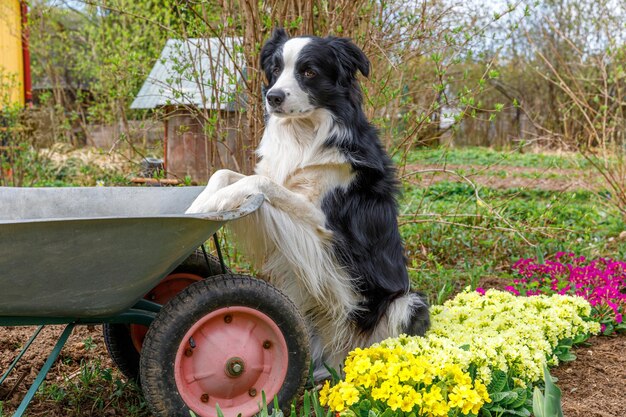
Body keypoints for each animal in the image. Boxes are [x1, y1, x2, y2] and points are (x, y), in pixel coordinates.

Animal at [185, 28, 428, 374]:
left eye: (309, 72)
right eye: (275, 70)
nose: (273, 97)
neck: (303, 132)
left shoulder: (325, 221)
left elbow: (259, 182)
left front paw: (209, 206)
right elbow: (225, 173)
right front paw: (198, 205)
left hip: (407, 302)